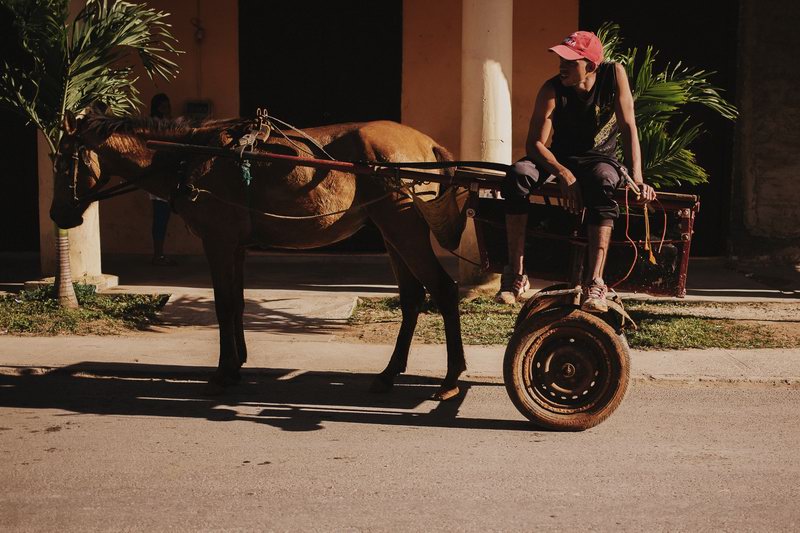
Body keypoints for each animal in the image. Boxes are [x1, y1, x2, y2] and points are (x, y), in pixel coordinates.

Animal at [48, 108, 468, 400]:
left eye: (64, 162)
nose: (57, 215)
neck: (187, 156)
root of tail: (427, 145)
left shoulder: (217, 242)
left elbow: (222, 306)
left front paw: (221, 374)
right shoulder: (234, 247)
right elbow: (235, 303)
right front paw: (236, 366)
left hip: (403, 228)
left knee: (444, 290)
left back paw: (451, 378)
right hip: (391, 232)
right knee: (412, 298)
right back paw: (389, 373)